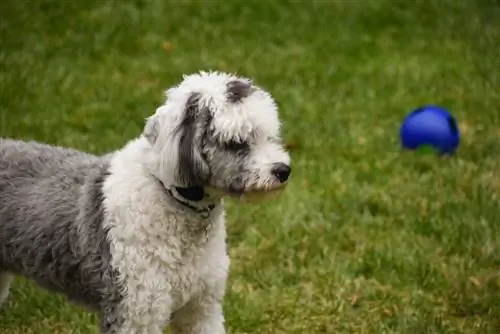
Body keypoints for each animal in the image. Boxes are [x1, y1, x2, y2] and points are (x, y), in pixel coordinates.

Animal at [0, 72, 292, 332]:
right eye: (236, 142)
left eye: (269, 135)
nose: (283, 170)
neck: (168, 193)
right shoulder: (135, 311)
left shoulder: (201, 308)